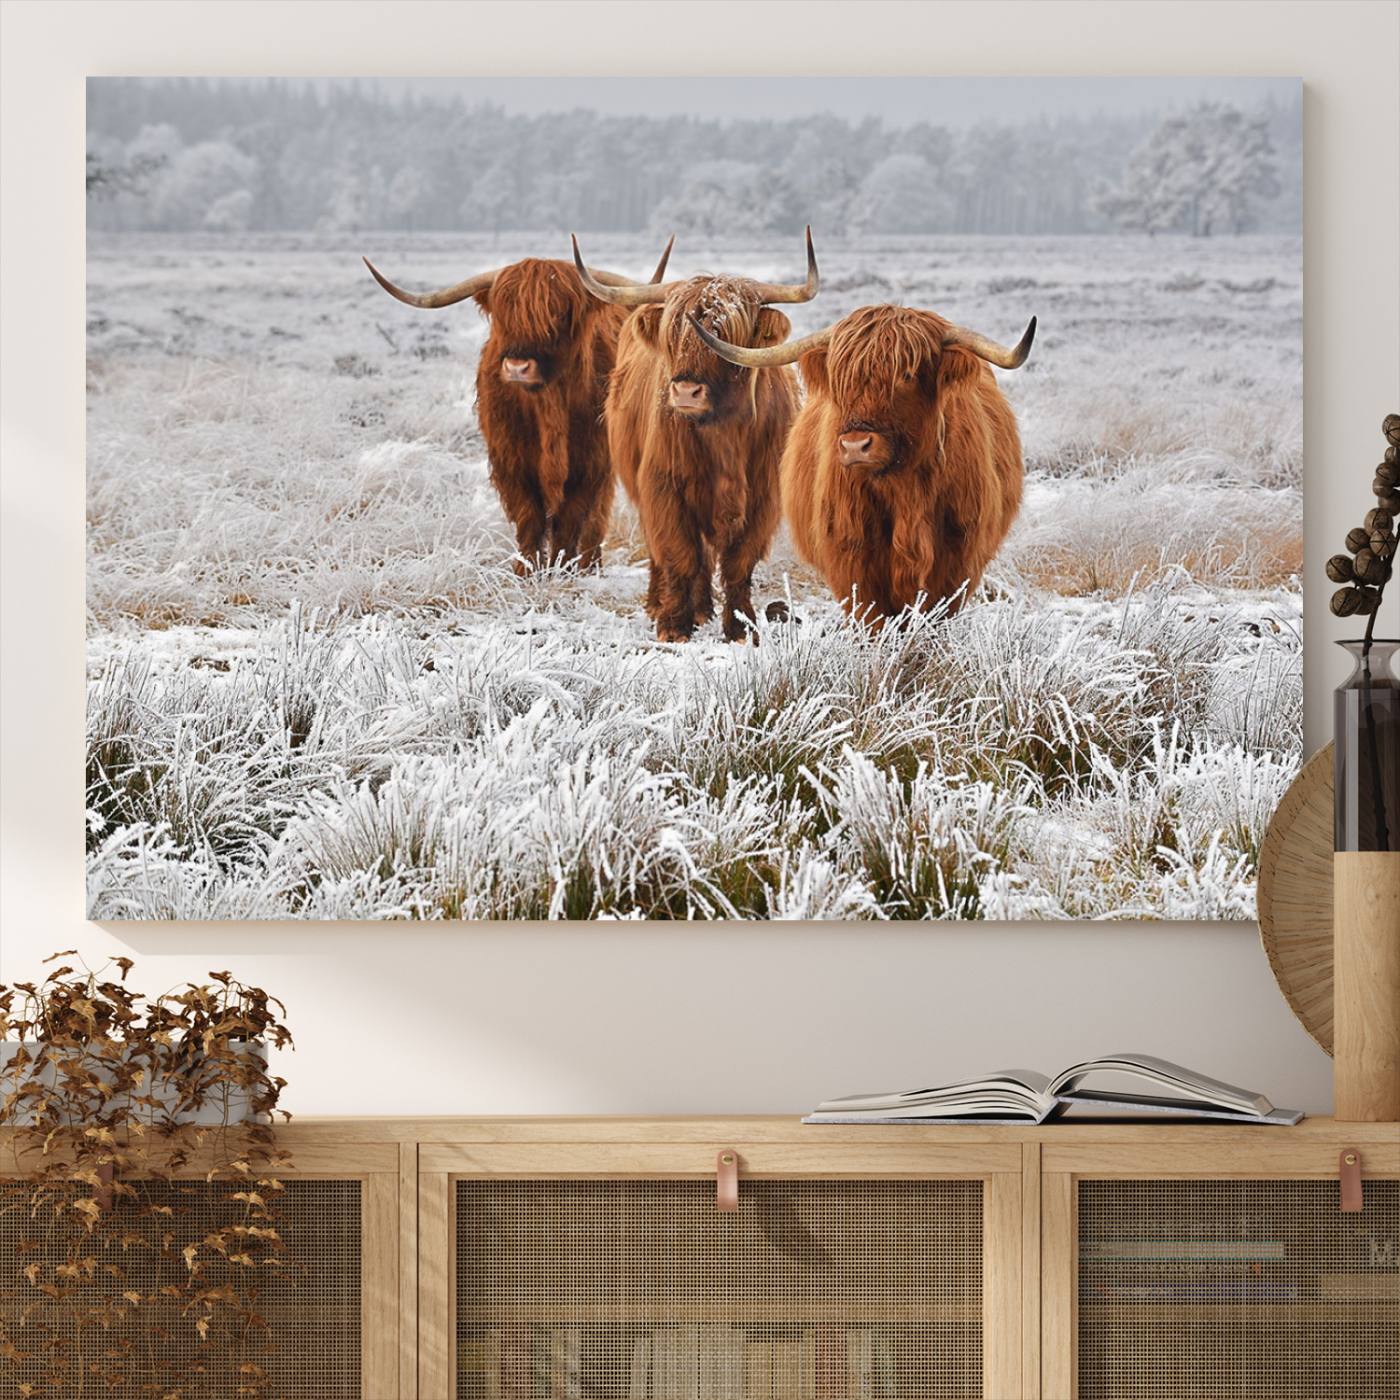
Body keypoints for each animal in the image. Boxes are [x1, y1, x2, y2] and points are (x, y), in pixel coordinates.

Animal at [363, 240, 673, 573]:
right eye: (503, 314)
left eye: (559, 313)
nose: (517, 367)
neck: (548, 406)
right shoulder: (511, 461)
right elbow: (529, 518)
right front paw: (526, 571)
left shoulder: (591, 461)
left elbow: (571, 520)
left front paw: (562, 569)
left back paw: (591, 565)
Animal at [571, 230, 820, 642]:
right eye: (673, 334)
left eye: (727, 334)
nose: (686, 391)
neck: (724, 436)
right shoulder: (663, 487)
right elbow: (679, 554)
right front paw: (673, 625)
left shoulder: (763, 498)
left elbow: (738, 563)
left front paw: (741, 626)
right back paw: (664, 604)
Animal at [690, 304, 1035, 622]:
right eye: (840, 378)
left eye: (907, 375)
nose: (855, 445)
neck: (904, 493)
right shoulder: (852, 563)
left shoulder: (957, 563)